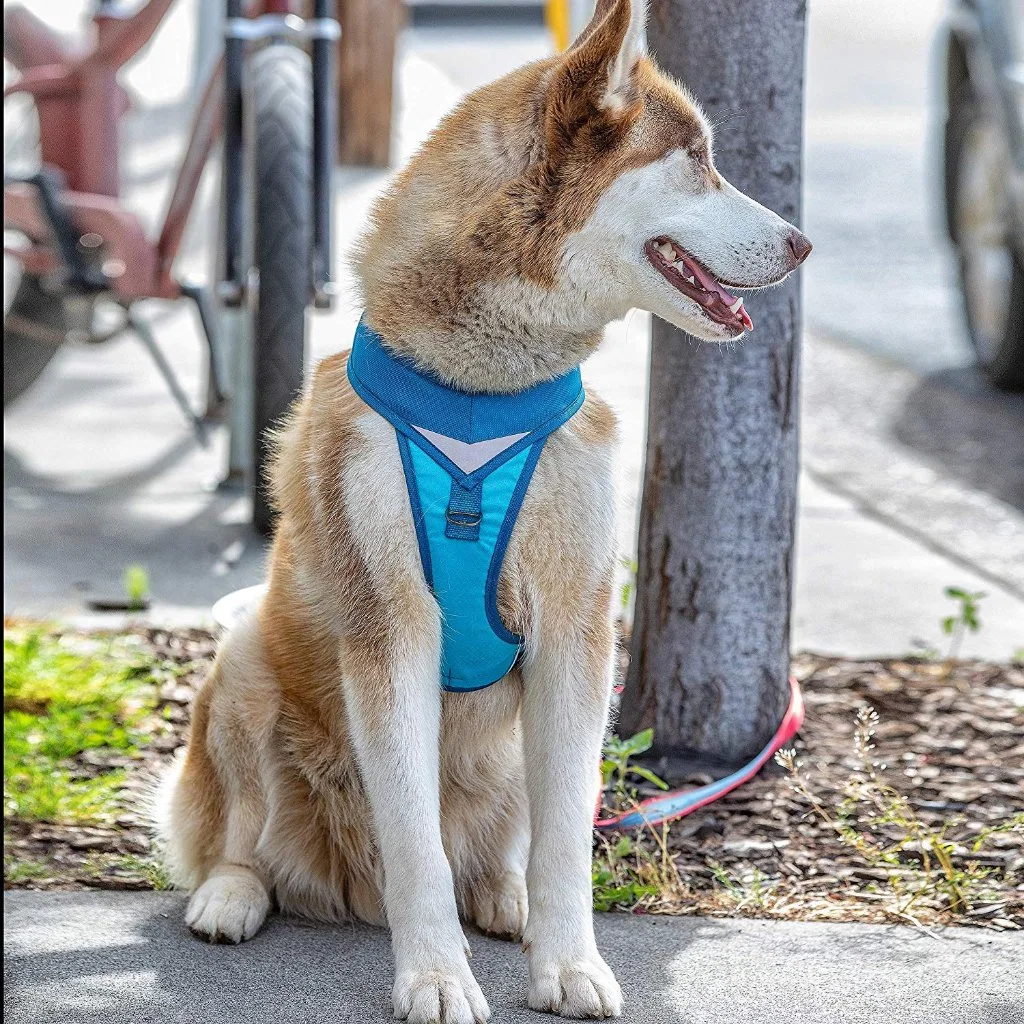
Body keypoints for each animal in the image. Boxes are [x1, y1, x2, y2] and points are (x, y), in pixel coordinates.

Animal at [159, 4, 811, 1019]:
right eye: (699, 158)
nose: (801, 242)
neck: (483, 396)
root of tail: (340, 883)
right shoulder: (391, 634)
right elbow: (415, 847)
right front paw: (434, 974)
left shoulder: (578, 633)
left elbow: (565, 841)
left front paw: (568, 960)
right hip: (243, 664)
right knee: (244, 838)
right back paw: (234, 892)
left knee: (512, 838)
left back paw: (504, 897)